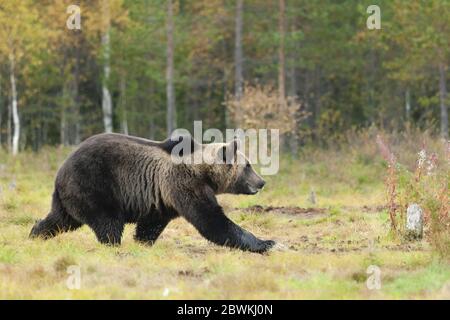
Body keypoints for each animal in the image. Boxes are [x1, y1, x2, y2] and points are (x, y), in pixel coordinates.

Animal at [30, 132, 274, 252]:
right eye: (248, 165)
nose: (262, 182)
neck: (203, 172)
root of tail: (60, 171)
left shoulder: (163, 198)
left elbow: (151, 224)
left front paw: (143, 242)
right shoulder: (184, 184)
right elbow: (212, 220)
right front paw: (266, 243)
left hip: (69, 196)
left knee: (59, 219)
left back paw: (34, 235)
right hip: (95, 184)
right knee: (108, 222)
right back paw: (112, 245)